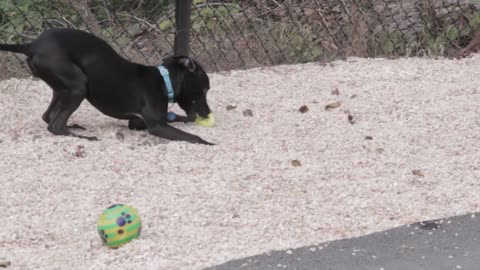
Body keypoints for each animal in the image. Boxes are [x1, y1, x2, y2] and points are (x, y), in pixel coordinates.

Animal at [0, 28, 214, 144]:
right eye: (204, 90)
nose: (208, 114)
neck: (164, 79)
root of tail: (31, 46)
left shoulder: (137, 122)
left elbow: (177, 118)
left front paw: (188, 120)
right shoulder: (157, 126)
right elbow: (191, 136)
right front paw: (208, 141)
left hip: (61, 89)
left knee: (48, 116)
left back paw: (72, 126)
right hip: (78, 85)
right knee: (54, 125)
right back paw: (83, 137)